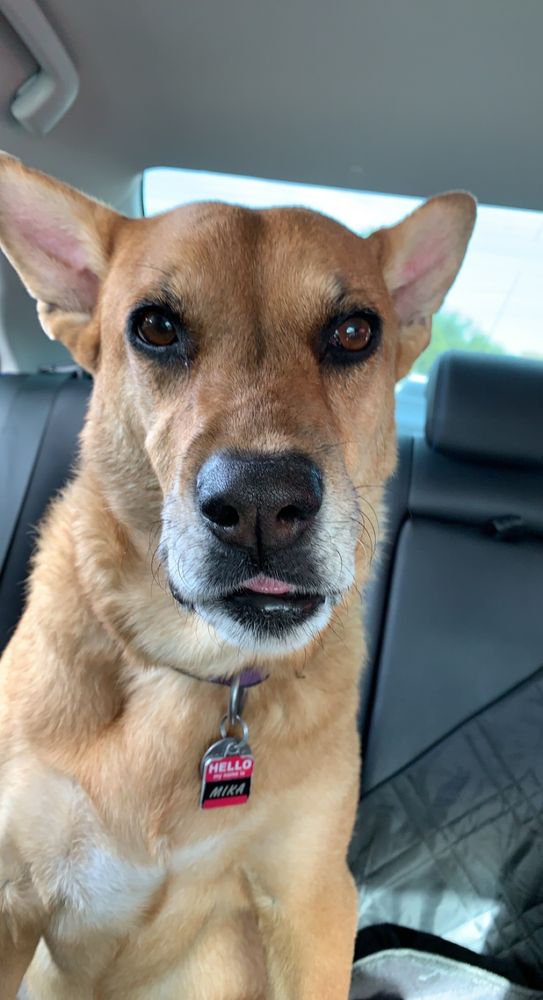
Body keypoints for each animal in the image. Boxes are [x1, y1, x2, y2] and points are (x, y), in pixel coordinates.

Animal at [0, 153, 475, 999]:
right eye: (156, 327)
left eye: (353, 332)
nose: (261, 504)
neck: (196, 671)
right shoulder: (9, 896)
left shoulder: (312, 900)